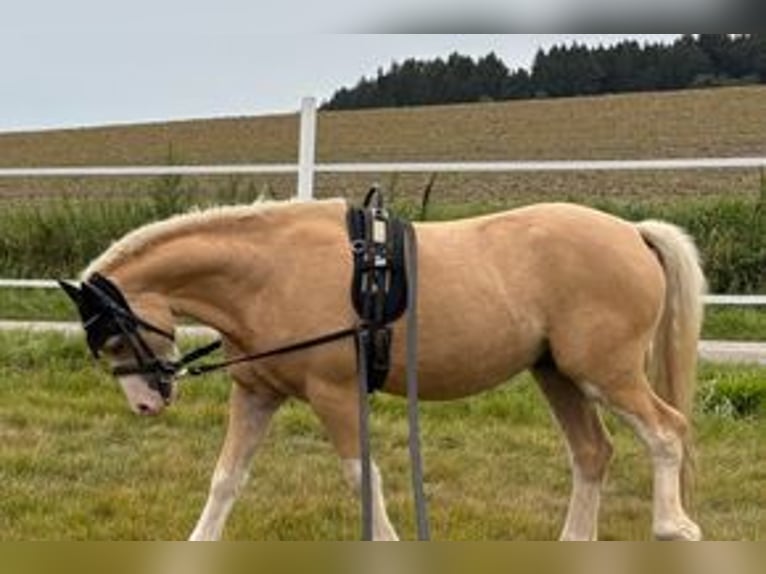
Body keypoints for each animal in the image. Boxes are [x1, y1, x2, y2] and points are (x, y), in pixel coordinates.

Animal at [59, 198, 706, 541]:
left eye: (113, 337)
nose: (147, 403)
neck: (272, 272)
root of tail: (631, 232)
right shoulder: (256, 393)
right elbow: (226, 479)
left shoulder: (335, 395)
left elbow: (360, 478)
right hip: (557, 374)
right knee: (593, 453)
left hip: (606, 373)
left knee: (666, 431)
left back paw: (673, 526)